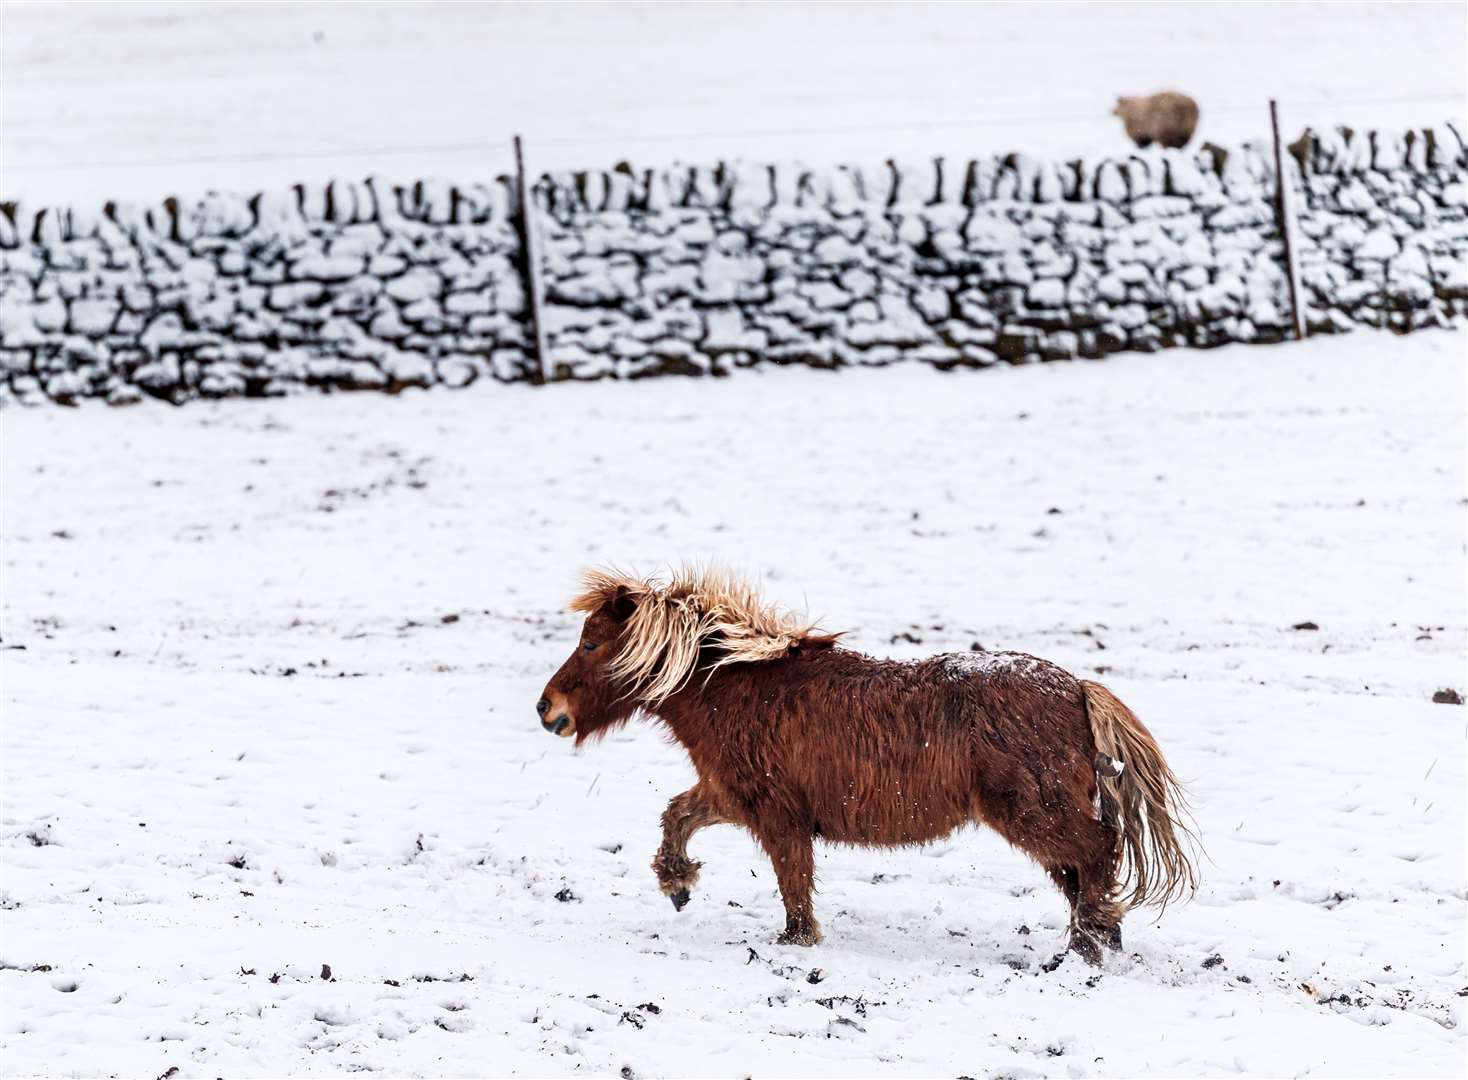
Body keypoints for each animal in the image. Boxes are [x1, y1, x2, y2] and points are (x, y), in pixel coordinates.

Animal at [534, 566, 1197, 962]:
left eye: (590, 643)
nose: (547, 708)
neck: (739, 687)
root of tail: (1078, 688)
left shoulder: (777, 817)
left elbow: (793, 884)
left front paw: (795, 943)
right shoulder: (733, 795)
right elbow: (678, 815)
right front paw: (677, 883)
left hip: (1034, 814)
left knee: (1098, 852)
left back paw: (1092, 940)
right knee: (1082, 868)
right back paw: (1097, 937)